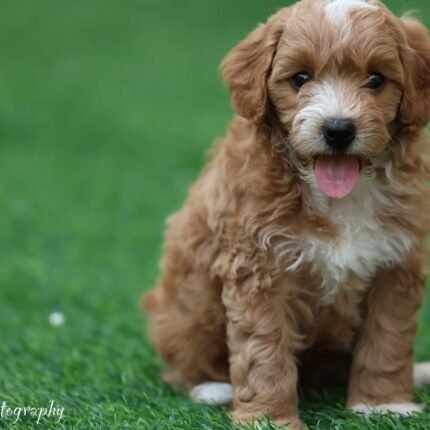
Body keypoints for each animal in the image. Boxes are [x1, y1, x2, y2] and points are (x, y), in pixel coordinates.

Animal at [143, 0, 430, 427]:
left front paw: (382, 405)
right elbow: (263, 349)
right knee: (181, 362)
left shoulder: (395, 264)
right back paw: (212, 387)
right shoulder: (259, 267)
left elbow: (387, 339)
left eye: (376, 80)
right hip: (185, 311)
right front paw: (268, 418)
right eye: (300, 78)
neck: (339, 195)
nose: (338, 129)